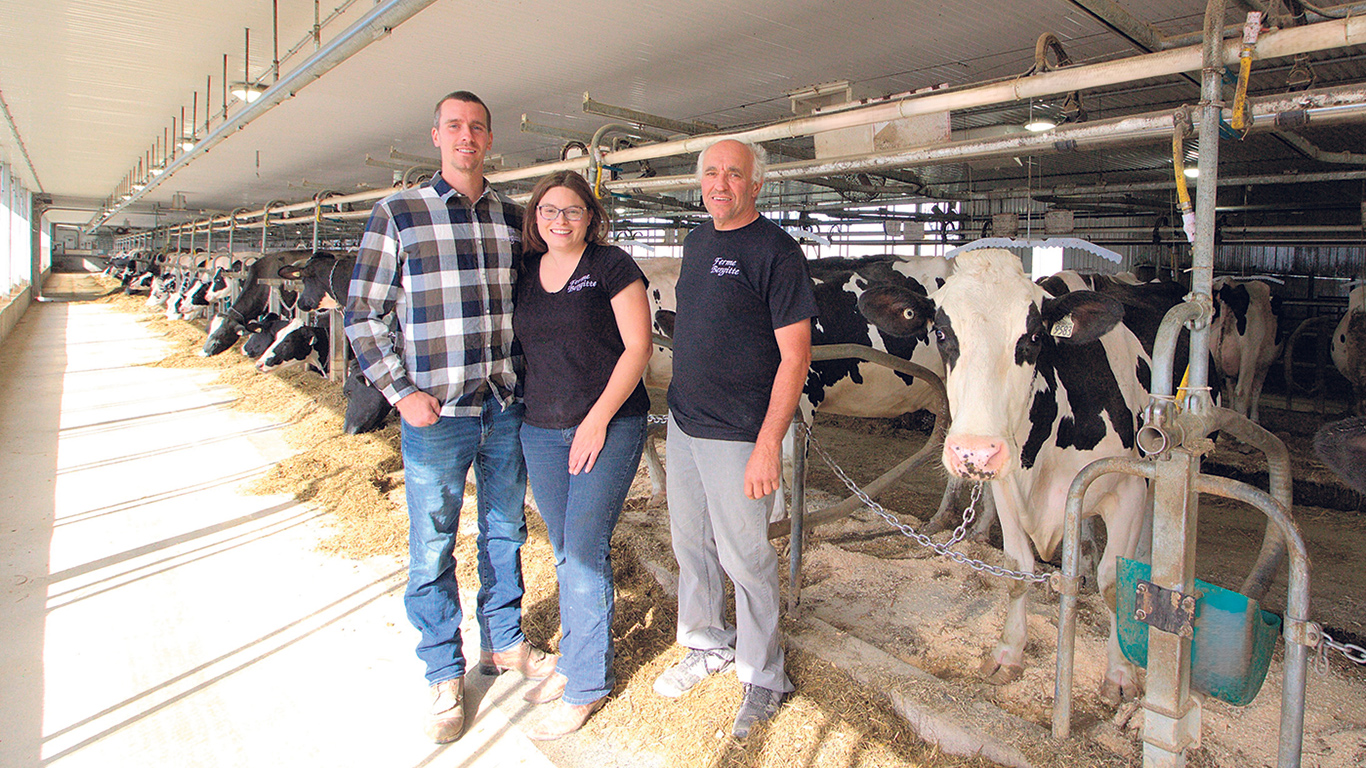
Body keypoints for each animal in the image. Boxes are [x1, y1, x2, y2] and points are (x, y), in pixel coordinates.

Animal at [863, 248, 1152, 705]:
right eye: (941, 333)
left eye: (1033, 337)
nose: (975, 451)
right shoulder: (1008, 490)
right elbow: (1017, 568)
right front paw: (1008, 652)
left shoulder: (1127, 491)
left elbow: (1112, 584)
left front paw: (1121, 674)